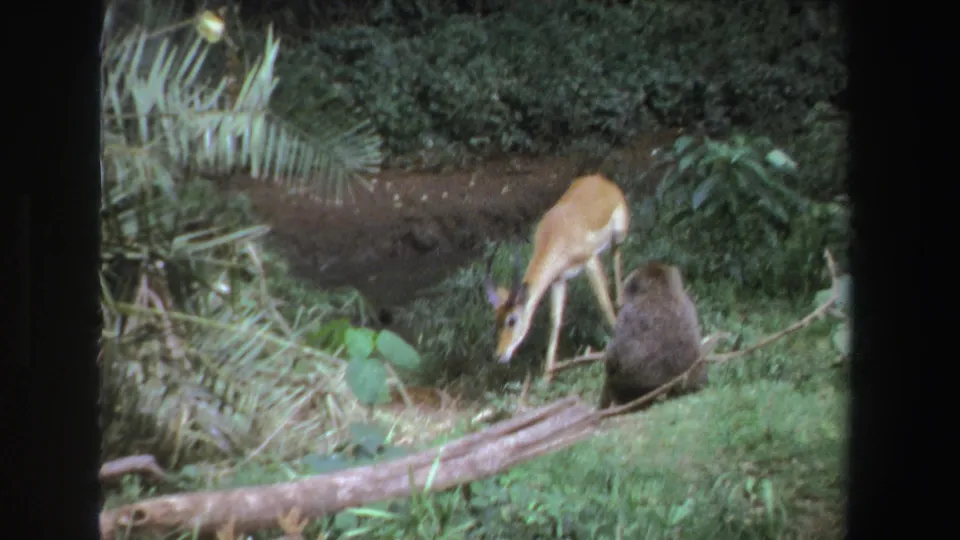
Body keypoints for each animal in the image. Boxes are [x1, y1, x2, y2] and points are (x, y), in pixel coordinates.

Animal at [483, 174, 630, 382]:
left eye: (512, 320)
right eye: (496, 320)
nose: (500, 355)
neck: (557, 234)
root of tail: (601, 180)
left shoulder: (589, 261)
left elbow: (603, 302)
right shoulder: (558, 280)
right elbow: (555, 321)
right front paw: (547, 377)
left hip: (618, 237)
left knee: (617, 261)